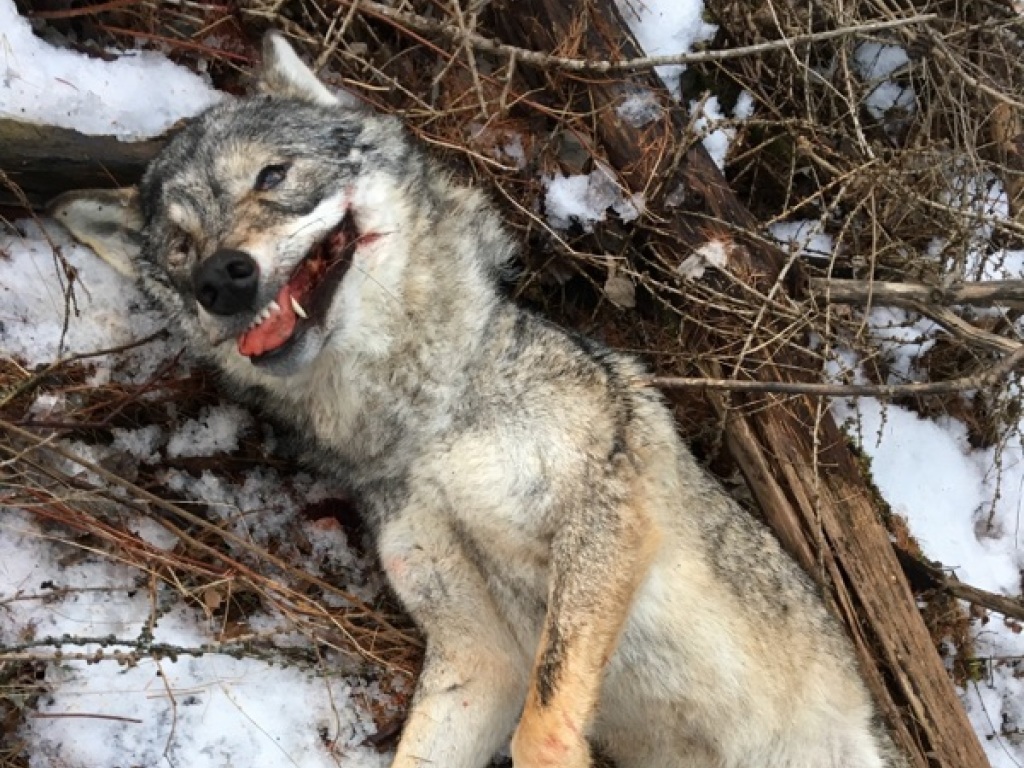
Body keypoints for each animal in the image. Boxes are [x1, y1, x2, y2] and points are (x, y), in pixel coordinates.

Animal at [54, 31, 905, 768]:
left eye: (271, 176)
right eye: (179, 248)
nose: (219, 278)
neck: (422, 428)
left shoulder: (604, 517)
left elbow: (542, 730)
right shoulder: (478, 653)